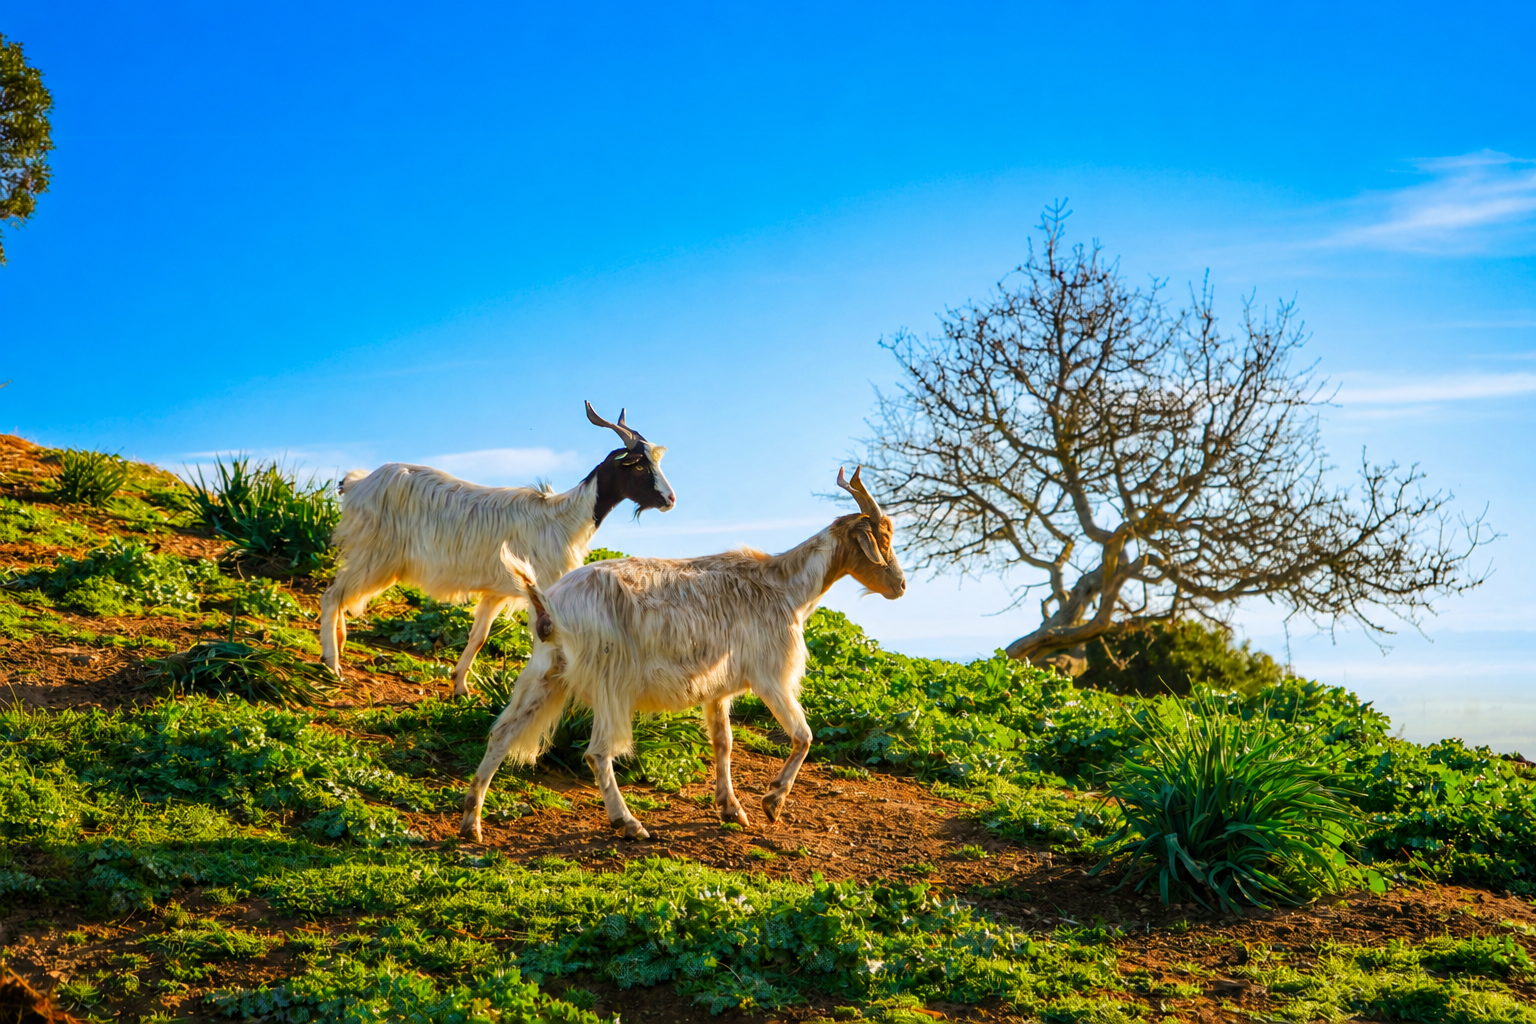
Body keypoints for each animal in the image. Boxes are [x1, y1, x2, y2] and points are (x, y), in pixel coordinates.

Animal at [319, 402, 675, 697]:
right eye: (639, 467)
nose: (670, 499)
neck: (565, 518)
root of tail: (358, 484)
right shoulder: (542, 590)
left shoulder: (496, 592)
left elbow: (478, 637)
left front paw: (460, 687)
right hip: (376, 555)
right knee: (332, 595)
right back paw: (332, 663)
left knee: (339, 593)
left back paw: (339, 643)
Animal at [458, 467, 905, 841]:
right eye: (882, 540)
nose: (900, 586)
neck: (786, 588)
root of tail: (549, 603)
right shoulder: (770, 676)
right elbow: (803, 735)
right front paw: (772, 801)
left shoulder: (718, 688)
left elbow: (724, 743)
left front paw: (731, 809)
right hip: (610, 681)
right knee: (598, 753)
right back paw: (628, 823)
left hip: (545, 673)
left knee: (501, 734)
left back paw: (471, 822)